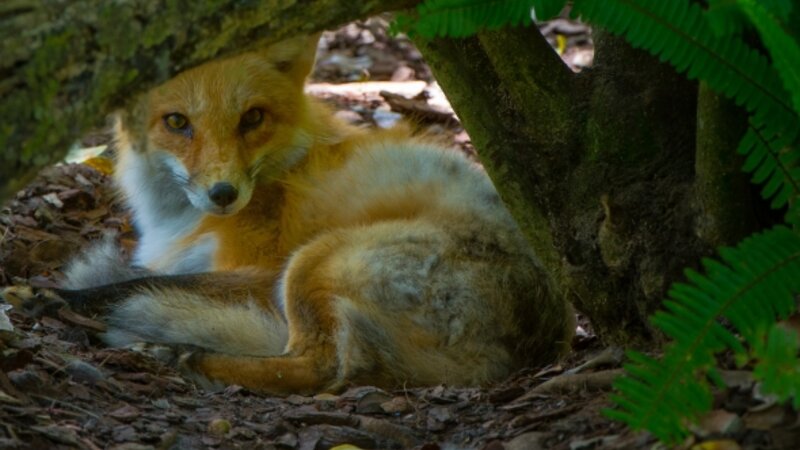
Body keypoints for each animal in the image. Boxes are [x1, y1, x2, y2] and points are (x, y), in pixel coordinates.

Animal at [44, 34, 574, 394]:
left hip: (313, 262)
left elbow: (135, 284)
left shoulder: (260, 272)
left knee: (325, 367)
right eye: (177, 122)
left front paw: (59, 298)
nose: (223, 193)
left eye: (252, 118)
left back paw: (188, 357)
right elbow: (146, 275)